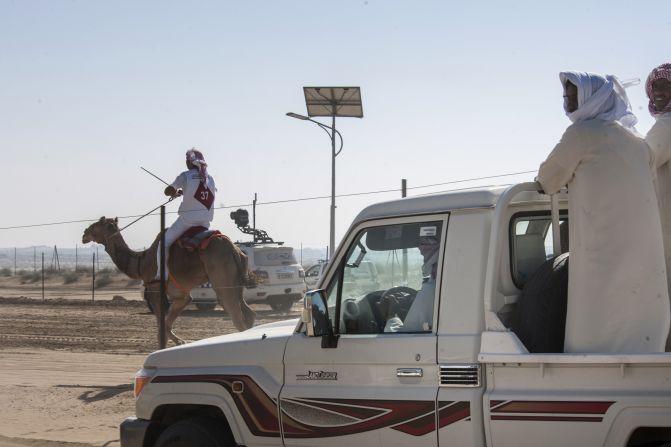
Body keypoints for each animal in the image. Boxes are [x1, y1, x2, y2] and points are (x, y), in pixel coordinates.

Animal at [81, 217, 255, 346]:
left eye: (96, 224)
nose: (84, 234)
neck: (142, 262)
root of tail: (235, 250)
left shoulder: (154, 289)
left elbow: (161, 325)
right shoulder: (182, 296)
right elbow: (166, 323)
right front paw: (180, 341)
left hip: (221, 278)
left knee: (237, 316)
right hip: (236, 281)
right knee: (248, 313)